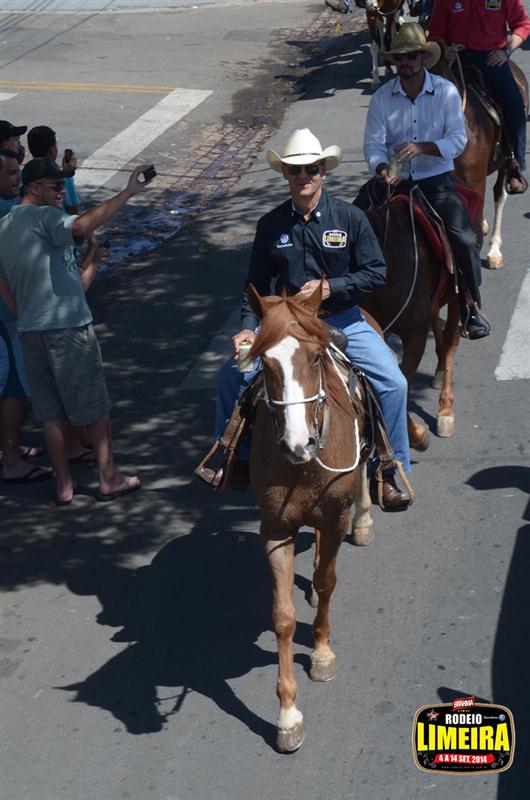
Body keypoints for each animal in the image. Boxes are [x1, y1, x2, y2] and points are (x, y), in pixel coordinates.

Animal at [246, 283, 374, 752]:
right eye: (265, 362)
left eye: (316, 358)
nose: (298, 444)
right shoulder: (275, 530)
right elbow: (282, 617)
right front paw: (287, 716)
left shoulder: (335, 517)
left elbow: (327, 580)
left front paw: (321, 654)